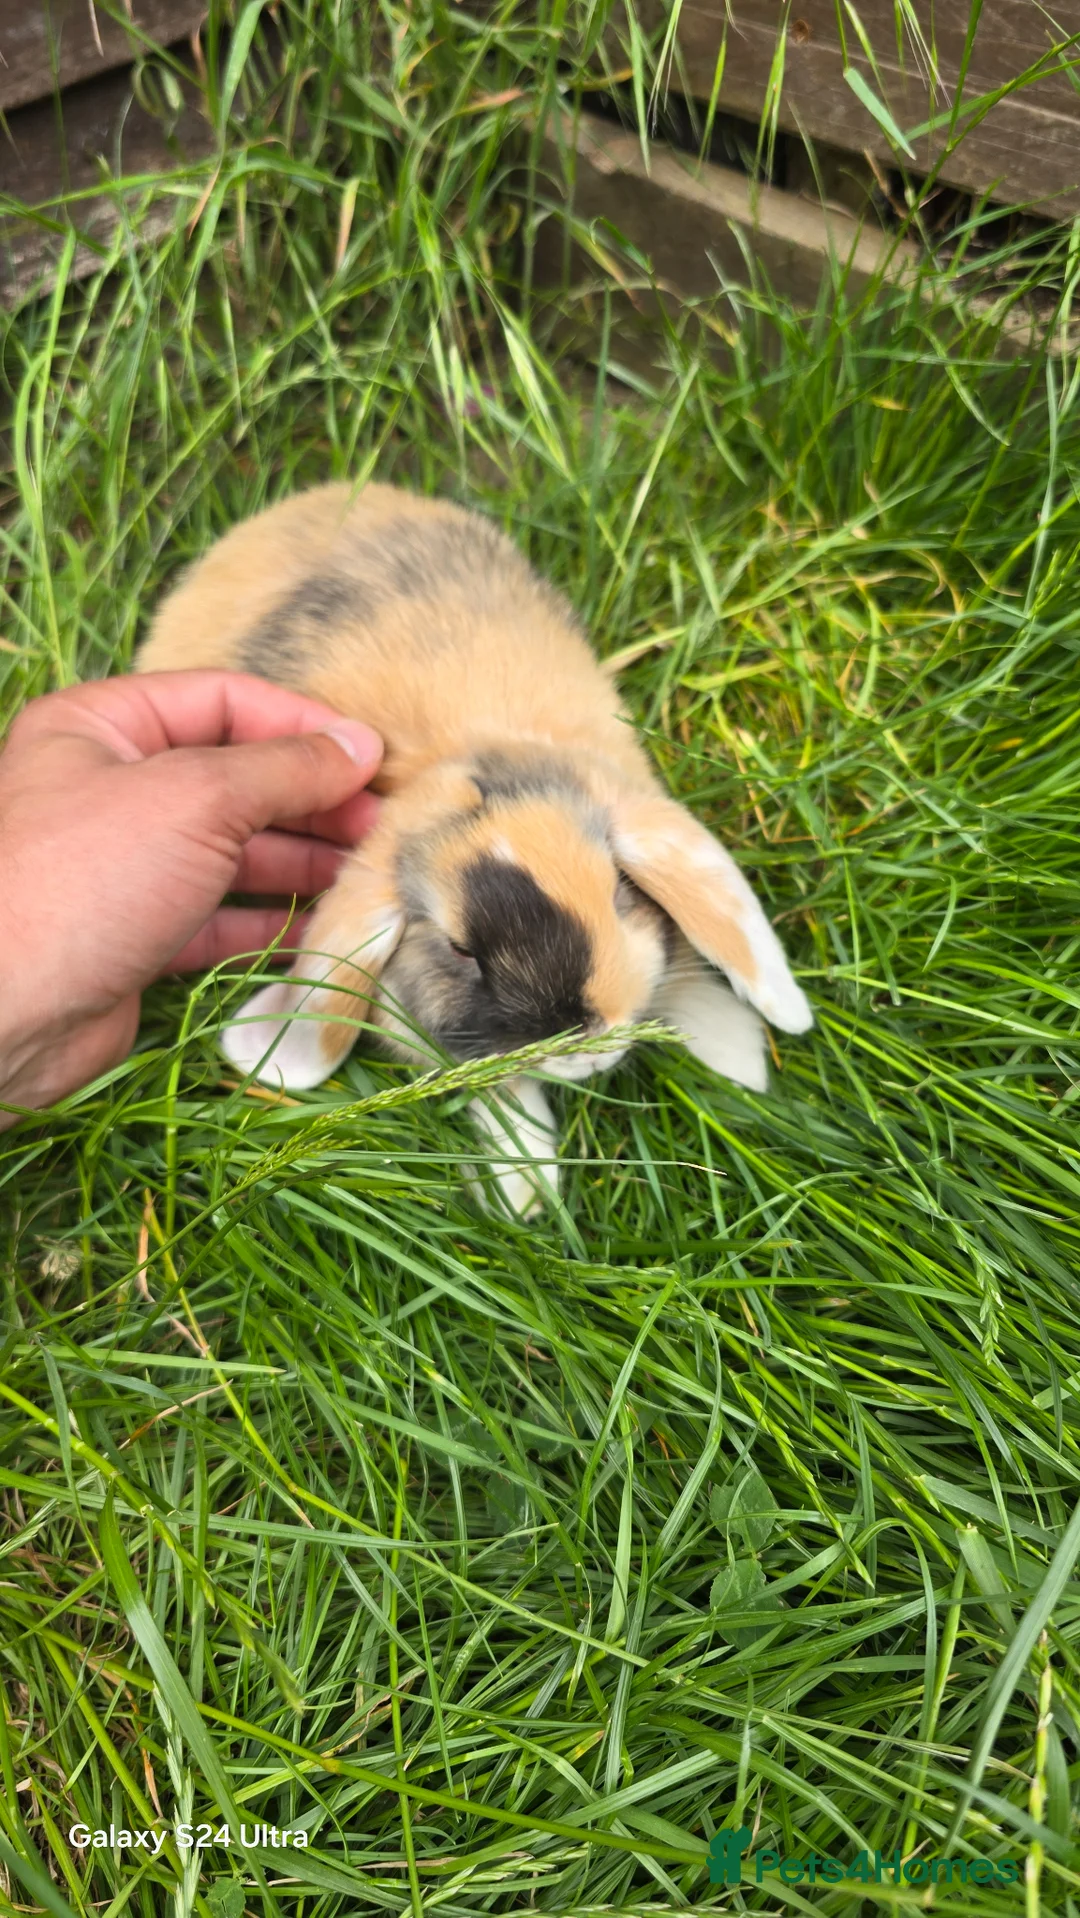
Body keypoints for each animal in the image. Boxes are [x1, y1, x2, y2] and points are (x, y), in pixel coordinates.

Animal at [137, 481, 812, 1214]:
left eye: (617, 891)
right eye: (459, 950)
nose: (591, 1047)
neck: (460, 768)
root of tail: (294, 507)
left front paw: (744, 1055)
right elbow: (503, 1094)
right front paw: (526, 1193)